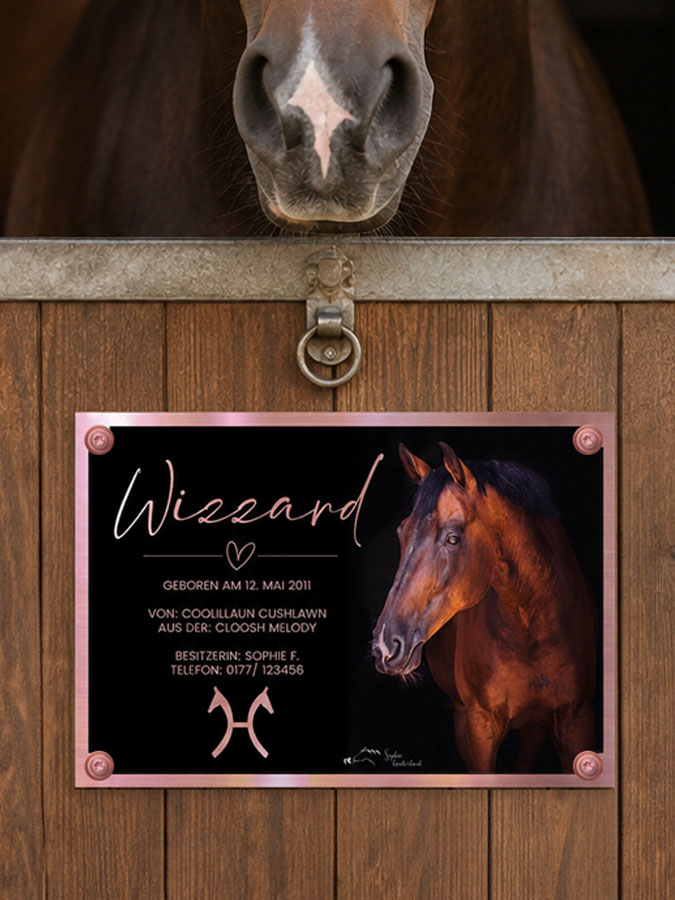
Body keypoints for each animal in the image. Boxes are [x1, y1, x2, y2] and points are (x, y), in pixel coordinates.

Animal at [371, 442, 596, 774]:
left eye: (453, 538)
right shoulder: (480, 728)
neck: (534, 630)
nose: (385, 646)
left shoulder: (575, 721)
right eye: (402, 532)